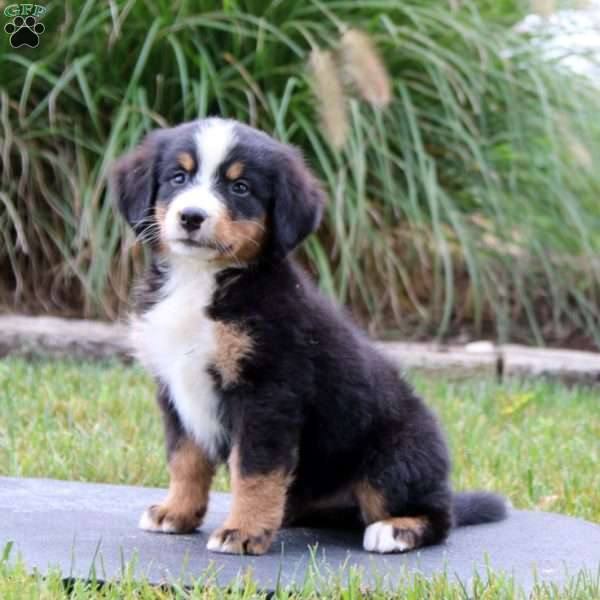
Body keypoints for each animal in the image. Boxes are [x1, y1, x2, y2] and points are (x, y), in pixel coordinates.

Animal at [112, 117, 506, 556]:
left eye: (240, 187)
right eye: (178, 177)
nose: (192, 216)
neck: (199, 279)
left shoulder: (268, 391)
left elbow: (254, 471)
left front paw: (243, 531)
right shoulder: (174, 387)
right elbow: (185, 459)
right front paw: (176, 513)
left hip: (394, 458)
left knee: (438, 515)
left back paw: (394, 530)